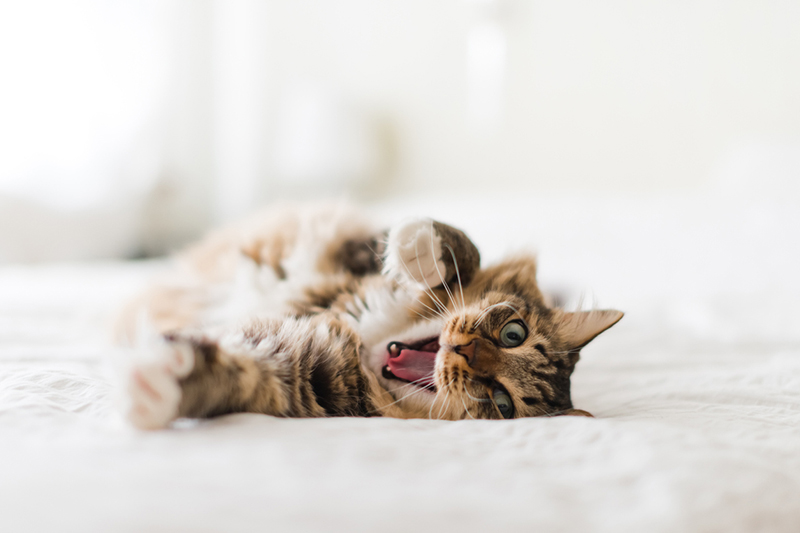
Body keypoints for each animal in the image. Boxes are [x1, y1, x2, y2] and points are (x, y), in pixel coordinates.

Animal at [119, 201, 620, 428]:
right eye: (514, 333)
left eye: (502, 403)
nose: (464, 352)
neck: (368, 334)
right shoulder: (355, 250)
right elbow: (458, 248)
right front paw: (421, 250)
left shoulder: (304, 375)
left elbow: (237, 373)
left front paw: (158, 383)